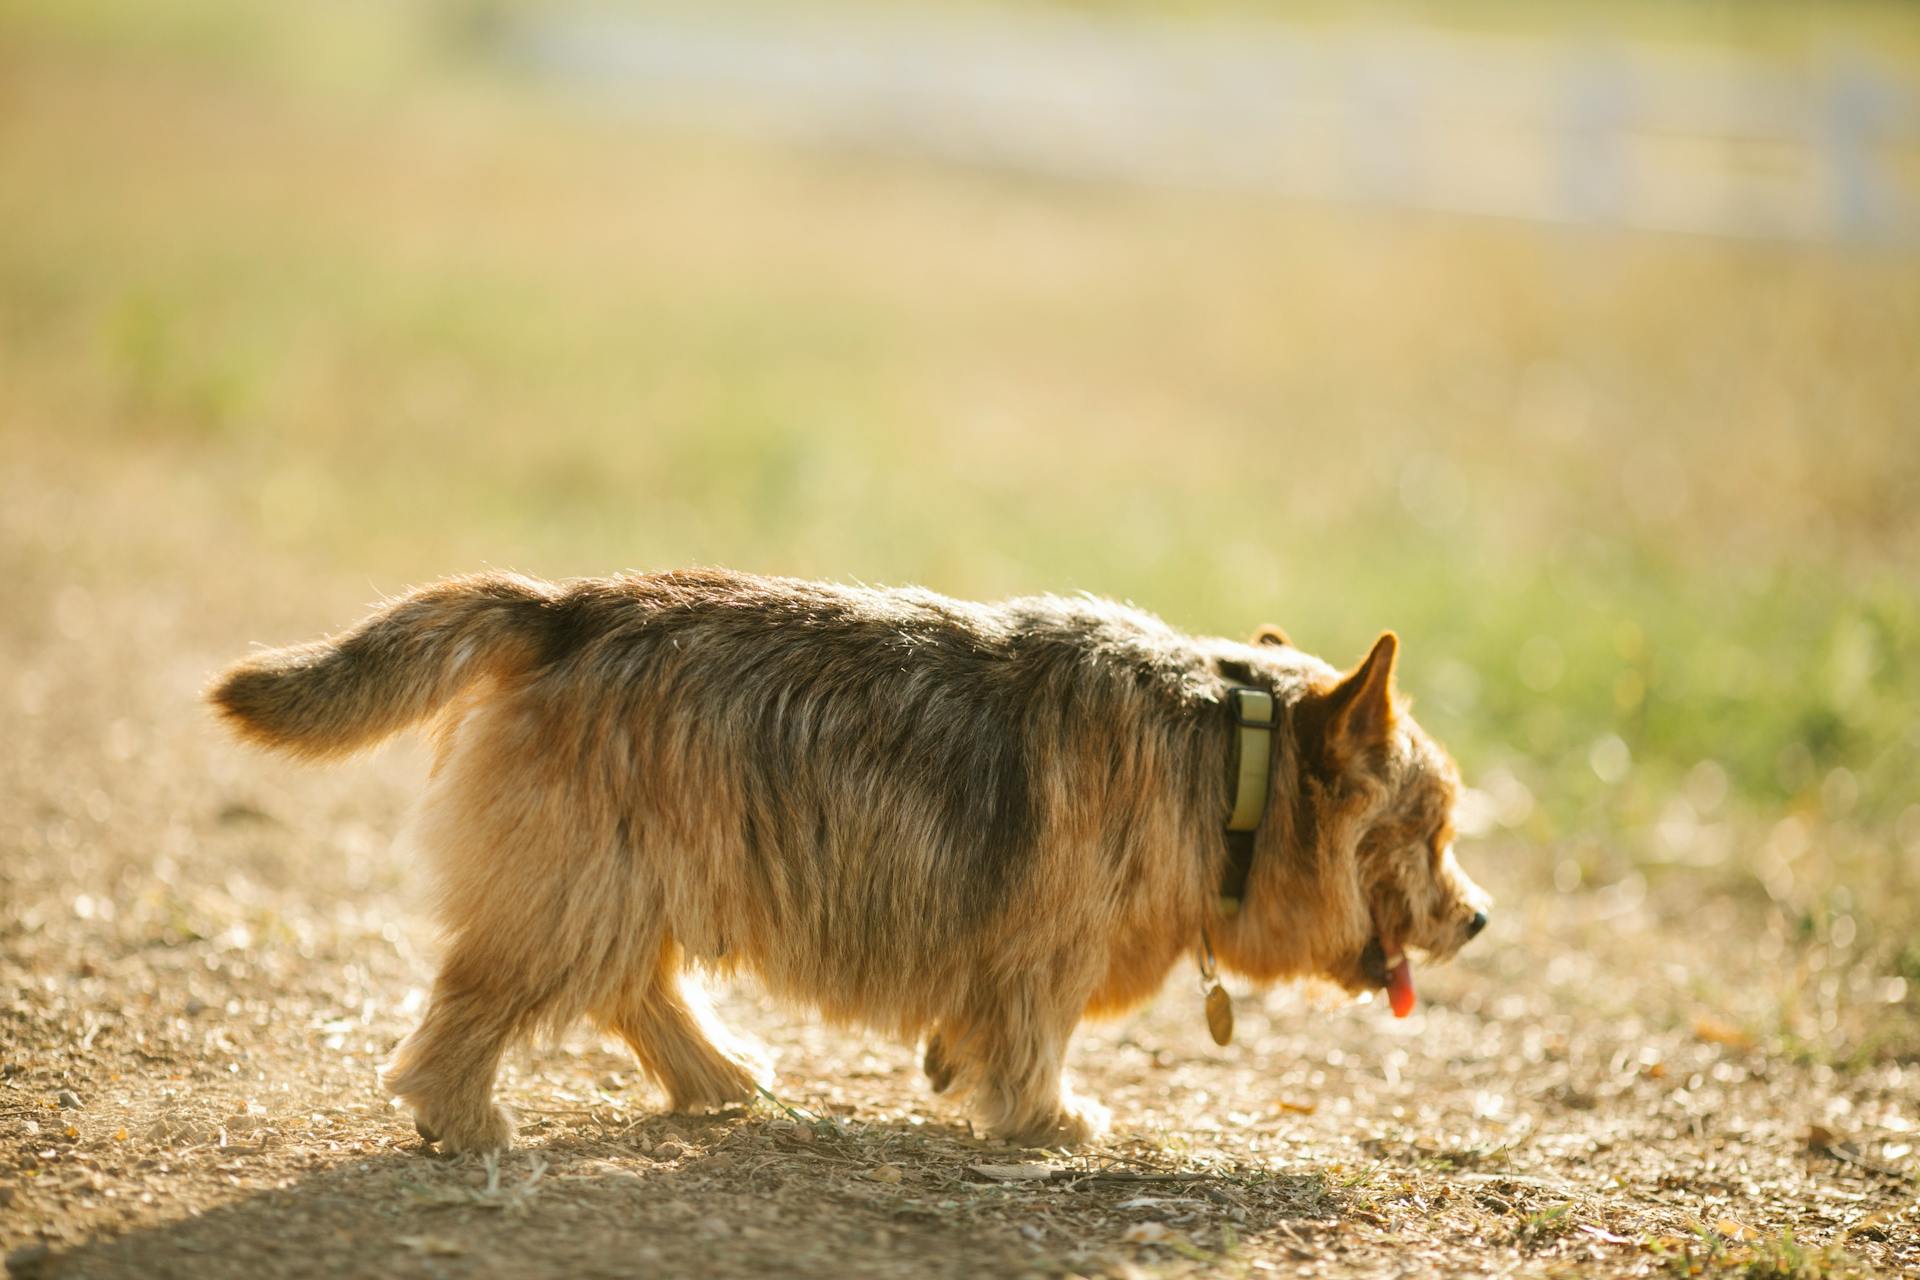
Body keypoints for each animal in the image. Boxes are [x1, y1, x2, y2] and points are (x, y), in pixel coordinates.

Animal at [214, 571, 1497, 1151]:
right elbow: (1035, 1033)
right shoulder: (1044, 946)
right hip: (583, 884)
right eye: (1432, 829)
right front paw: (1050, 1118)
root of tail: (567, 606)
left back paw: (719, 1075)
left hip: (628, 877)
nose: (1479, 917)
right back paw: (465, 1113)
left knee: (636, 987)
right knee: (490, 999)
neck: (1229, 758)